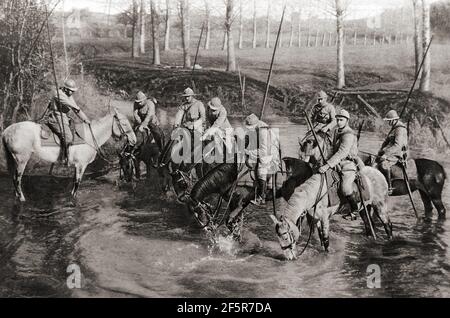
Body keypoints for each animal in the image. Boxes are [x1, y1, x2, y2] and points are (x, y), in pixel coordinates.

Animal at [1, 109, 136, 201]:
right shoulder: (81, 165)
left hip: (14, 160)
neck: (89, 137)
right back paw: (22, 198)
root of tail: (6, 131)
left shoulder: (77, 166)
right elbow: (77, 183)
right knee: (17, 179)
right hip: (21, 160)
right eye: (124, 123)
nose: (134, 140)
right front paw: (73, 198)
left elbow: (74, 182)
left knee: (13, 178)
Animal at [298, 132, 446, 219]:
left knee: (442, 211)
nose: (301, 159)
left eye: (308, 145)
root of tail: (440, 168)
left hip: (434, 195)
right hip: (424, 193)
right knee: (428, 209)